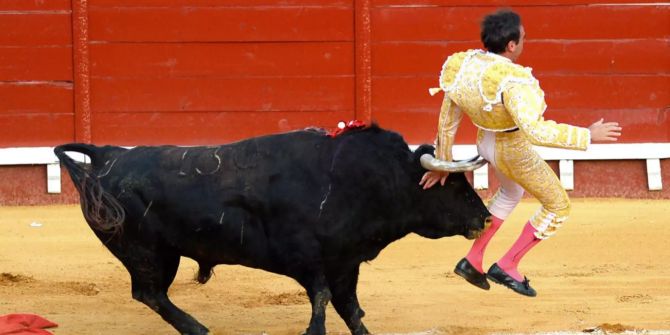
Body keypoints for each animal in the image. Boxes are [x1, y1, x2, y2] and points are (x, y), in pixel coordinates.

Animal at [55, 126, 490, 335]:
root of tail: (106, 156)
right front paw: (313, 332)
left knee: (150, 295)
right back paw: (197, 328)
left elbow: (350, 309)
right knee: (149, 293)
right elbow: (322, 300)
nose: (485, 218)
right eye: (452, 185)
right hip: (146, 252)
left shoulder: (345, 263)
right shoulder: (310, 260)